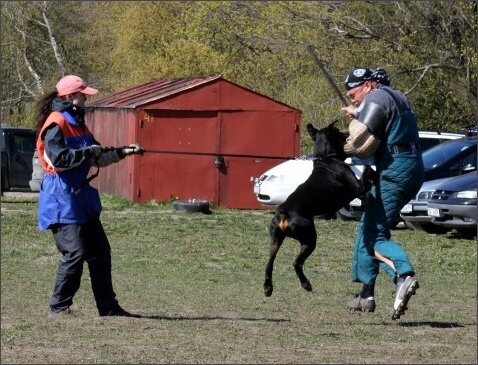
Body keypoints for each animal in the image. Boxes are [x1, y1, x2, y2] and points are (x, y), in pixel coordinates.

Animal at [262, 119, 378, 296]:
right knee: (297, 263)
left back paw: (268, 288)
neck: (326, 159)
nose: (348, 131)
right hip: (309, 238)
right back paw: (306, 284)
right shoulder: (358, 189)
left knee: (270, 263)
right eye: (338, 131)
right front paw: (372, 171)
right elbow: (367, 171)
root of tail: (284, 213)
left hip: (275, 239)